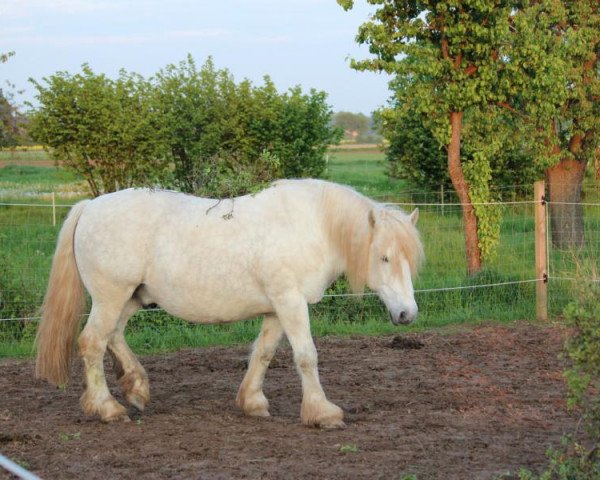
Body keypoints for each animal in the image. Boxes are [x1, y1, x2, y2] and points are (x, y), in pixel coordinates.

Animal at [36, 179, 422, 428]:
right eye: (384, 258)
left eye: (410, 259)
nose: (407, 314)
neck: (310, 226)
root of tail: (89, 207)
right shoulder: (290, 301)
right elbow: (306, 356)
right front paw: (323, 413)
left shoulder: (277, 308)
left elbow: (264, 353)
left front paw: (252, 402)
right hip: (111, 296)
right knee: (92, 343)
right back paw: (108, 408)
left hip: (131, 297)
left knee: (113, 336)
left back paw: (137, 387)